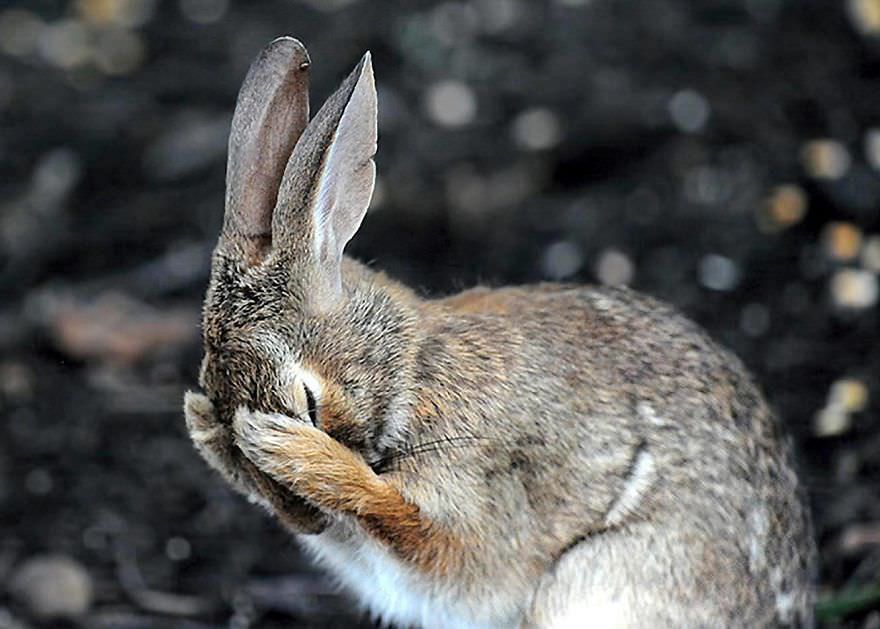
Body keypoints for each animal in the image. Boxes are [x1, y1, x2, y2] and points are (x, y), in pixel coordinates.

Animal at [183, 36, 816, 628]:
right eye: (219, 407)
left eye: (307, 401)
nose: (306, 520)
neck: (410, 371)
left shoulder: (477, 495)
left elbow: (421, 531)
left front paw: (292, 450)